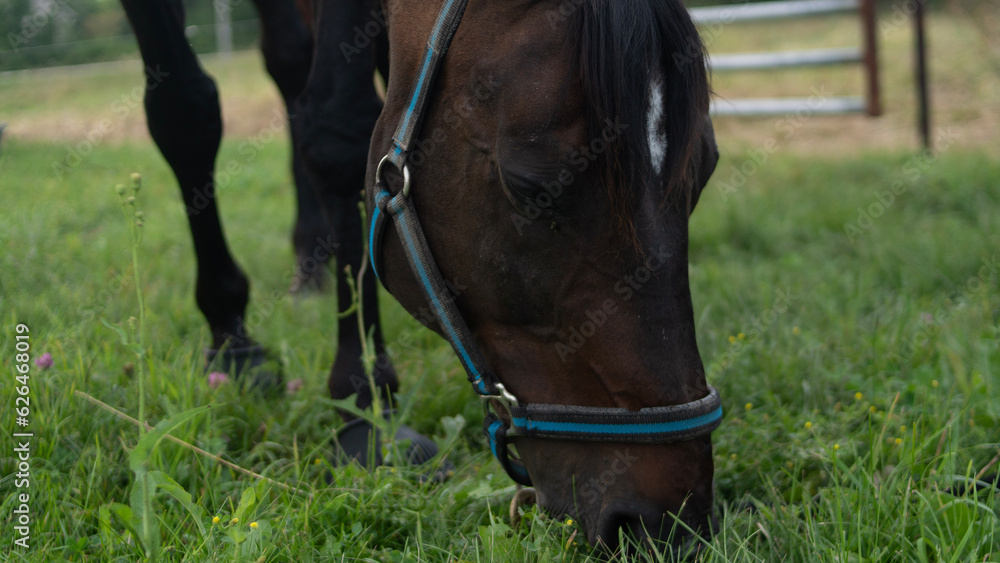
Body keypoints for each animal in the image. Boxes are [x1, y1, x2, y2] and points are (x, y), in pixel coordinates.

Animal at [121, 0, 721, 552]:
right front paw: (257, 353)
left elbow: (336, 117)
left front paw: (363, 400)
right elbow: (193, 111)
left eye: (707, 168)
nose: (667, 523)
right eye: (532, 187)